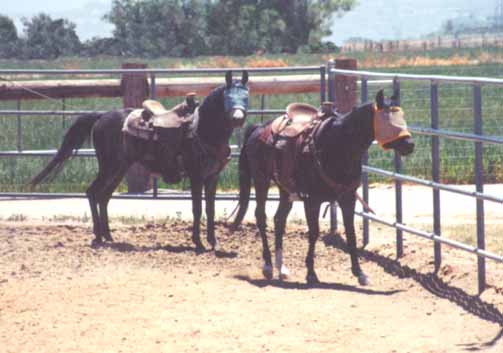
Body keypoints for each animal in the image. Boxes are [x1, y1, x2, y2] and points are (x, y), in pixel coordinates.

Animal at [30, 70, 249, 249]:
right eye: (228, 98)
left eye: (246, 96)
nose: (238, 118)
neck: (201, 130)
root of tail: (102, 117)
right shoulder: (196, 177)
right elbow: (197, 209)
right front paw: (199, 243)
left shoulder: (212, 177)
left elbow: (210, 209)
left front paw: (214, 242)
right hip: (108, 166)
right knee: (92, 192)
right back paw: (99, 236)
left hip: (119, 169)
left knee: (103, 196)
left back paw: (108, 236)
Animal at [231, 89, 414, 284]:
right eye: (387, 119)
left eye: (401, 116)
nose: (410, 145)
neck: (337, 145)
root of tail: (258, 129)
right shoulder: (312, 201)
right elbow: (314, 232)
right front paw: (311, 273)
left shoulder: (348, 199)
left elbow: (351, 234)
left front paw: (360, 273)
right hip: (261, 180)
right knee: (261, 217)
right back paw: (268, 266)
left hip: (285, 189)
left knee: (279, 220)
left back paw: (282, 268)